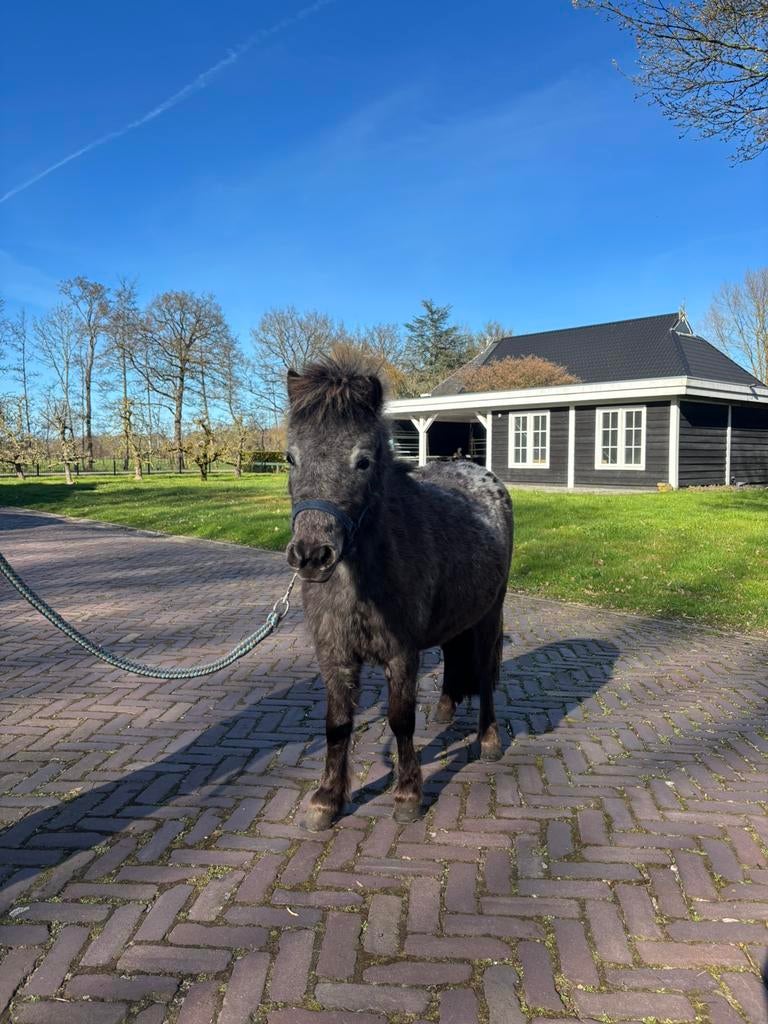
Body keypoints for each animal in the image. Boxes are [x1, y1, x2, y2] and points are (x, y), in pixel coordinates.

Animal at [285, 357, 513, 830]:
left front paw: (408, 793)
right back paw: (445, 709)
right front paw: (326, 799)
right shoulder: (334, 654)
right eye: (289, 457)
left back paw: (488, 740)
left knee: (485, 674)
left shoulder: (401, 653)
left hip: (489, 615)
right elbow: (337, 724)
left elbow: (400, 719)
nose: (312, 555)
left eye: (363, 461)